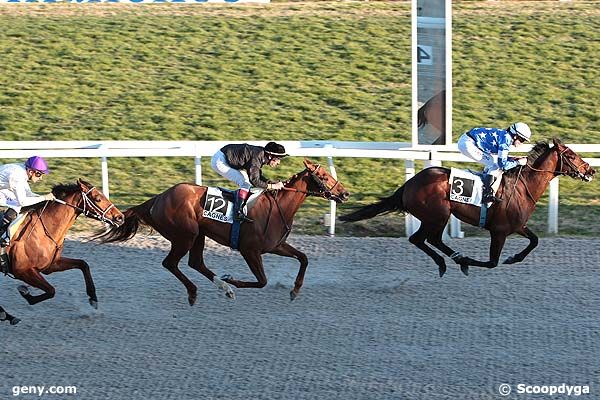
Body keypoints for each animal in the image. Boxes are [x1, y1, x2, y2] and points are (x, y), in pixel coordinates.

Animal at [0, 180, 124, 324]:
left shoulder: (50, 265)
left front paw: (93, 298)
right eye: (98, 198)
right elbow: (51, 290)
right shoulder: (22, 271)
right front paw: (24, 292)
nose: (120, 217)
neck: (44, 229)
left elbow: (83, 264)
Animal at [97, 159, 352, 304]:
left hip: (197, 235)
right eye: (324, 176)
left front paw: (295, 290)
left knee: (196, 263)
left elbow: (304, 258)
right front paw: (234, 280)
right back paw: (197, 291)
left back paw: (224, 288)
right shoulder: (250, 250)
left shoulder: (275, 246)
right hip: (185, 235)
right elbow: (262, 281)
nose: (345, 193)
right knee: (170, 263)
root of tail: (157, 199)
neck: (278, 206)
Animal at [342, 139, 596, 276]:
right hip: (438, 215)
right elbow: (492, 262)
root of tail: (409, 184)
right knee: (424, 239)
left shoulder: (517, 225)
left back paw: (449, 260)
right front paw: (470, 262)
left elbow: (535, 241)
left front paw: (514, 258)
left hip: (434, 217)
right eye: (572, 155)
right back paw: (455, 260)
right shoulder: (499, 231)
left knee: (425, 239)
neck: (523, 187)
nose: (591, 170)